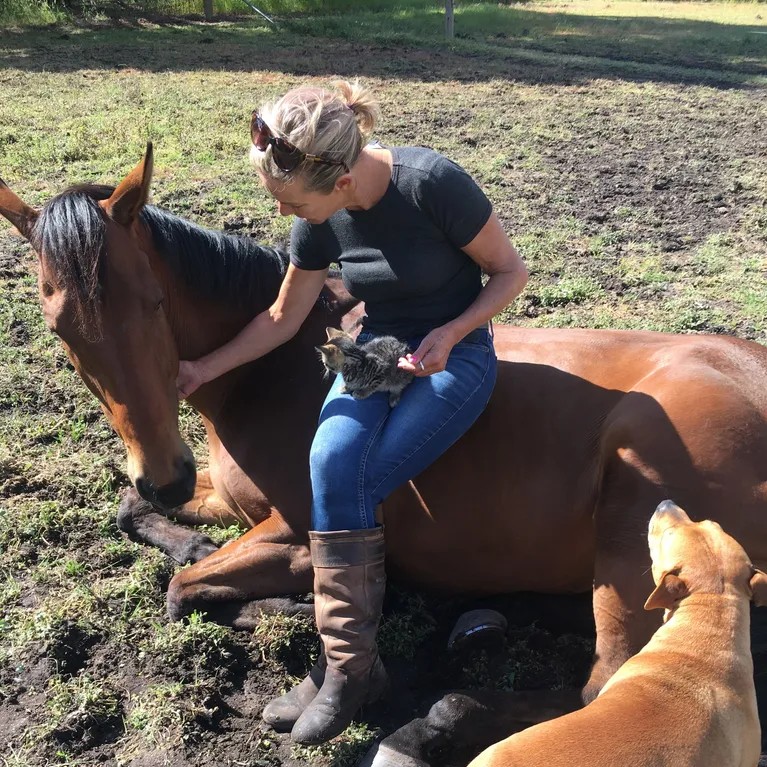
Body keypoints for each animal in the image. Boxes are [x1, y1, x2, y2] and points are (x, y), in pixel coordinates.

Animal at [3, 144, 767, 765]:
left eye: (154, 303)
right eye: (59, 328)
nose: (166, 475)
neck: (272, 372)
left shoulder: (297, 526)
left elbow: (184, 589)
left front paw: (287, 610)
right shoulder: (223, 498)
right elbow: (134, 516)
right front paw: (192, 542)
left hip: (630, 537)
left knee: (603, 684)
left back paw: (430, 721)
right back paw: (476, 631)